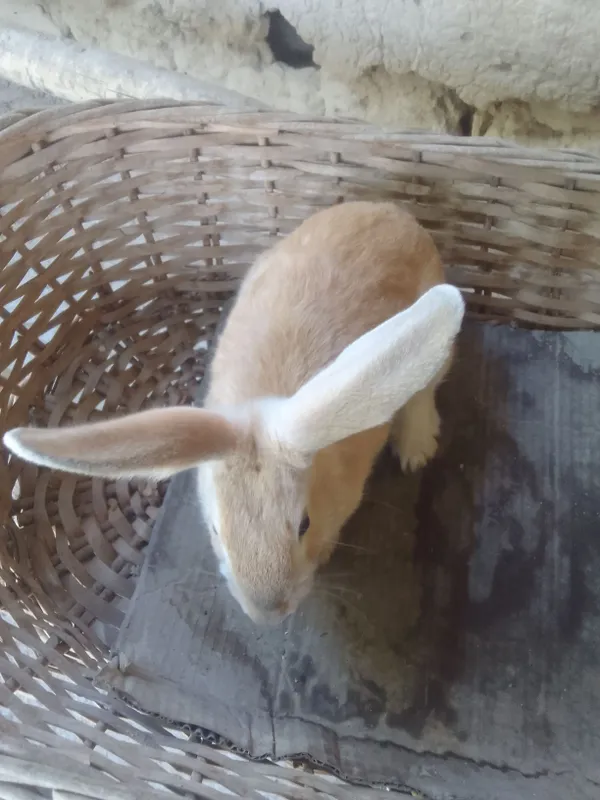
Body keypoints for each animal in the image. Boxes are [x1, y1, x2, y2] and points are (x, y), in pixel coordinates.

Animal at [3, 201, 464, 625]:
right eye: (215, 532)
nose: (267, 614)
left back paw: (416, 449)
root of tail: (389, 211)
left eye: (304, 524)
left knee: (425, 390)